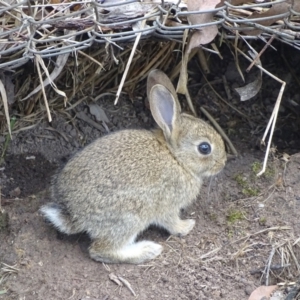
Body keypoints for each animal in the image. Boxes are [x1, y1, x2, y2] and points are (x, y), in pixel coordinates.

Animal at [40, 69, 227, 264]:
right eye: (204, 148)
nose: (223, 162)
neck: (176, 157)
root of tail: (74, 214)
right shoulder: (168, 204)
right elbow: (171, 222)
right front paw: (186, 227)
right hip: (130, 216)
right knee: (100, 250)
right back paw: (147, 250)